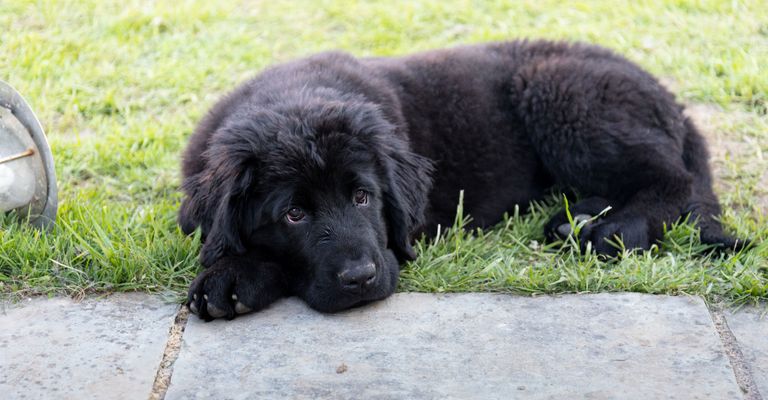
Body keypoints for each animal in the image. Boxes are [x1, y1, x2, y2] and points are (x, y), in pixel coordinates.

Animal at [177, 40, 740, 320]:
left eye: (363, 197)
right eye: (293, 214)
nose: (360, 278)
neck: (296, 95)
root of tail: (668, 97)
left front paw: (234, 276)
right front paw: (234, 273)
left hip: (565, 98)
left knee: (673, 180)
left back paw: (609, 231)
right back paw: (576, 220)